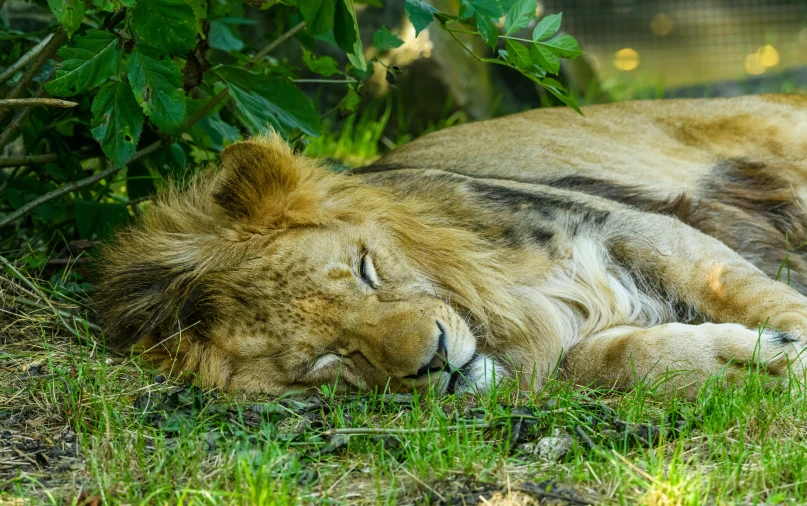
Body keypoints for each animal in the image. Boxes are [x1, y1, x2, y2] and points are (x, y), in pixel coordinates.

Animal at [96, 93, 807, 398]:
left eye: (366, 269)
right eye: (326, 359)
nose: (436, 360)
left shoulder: (645, 232)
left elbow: (748, 290)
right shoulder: (571, 340)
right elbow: (617, 361)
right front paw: (754, 364)